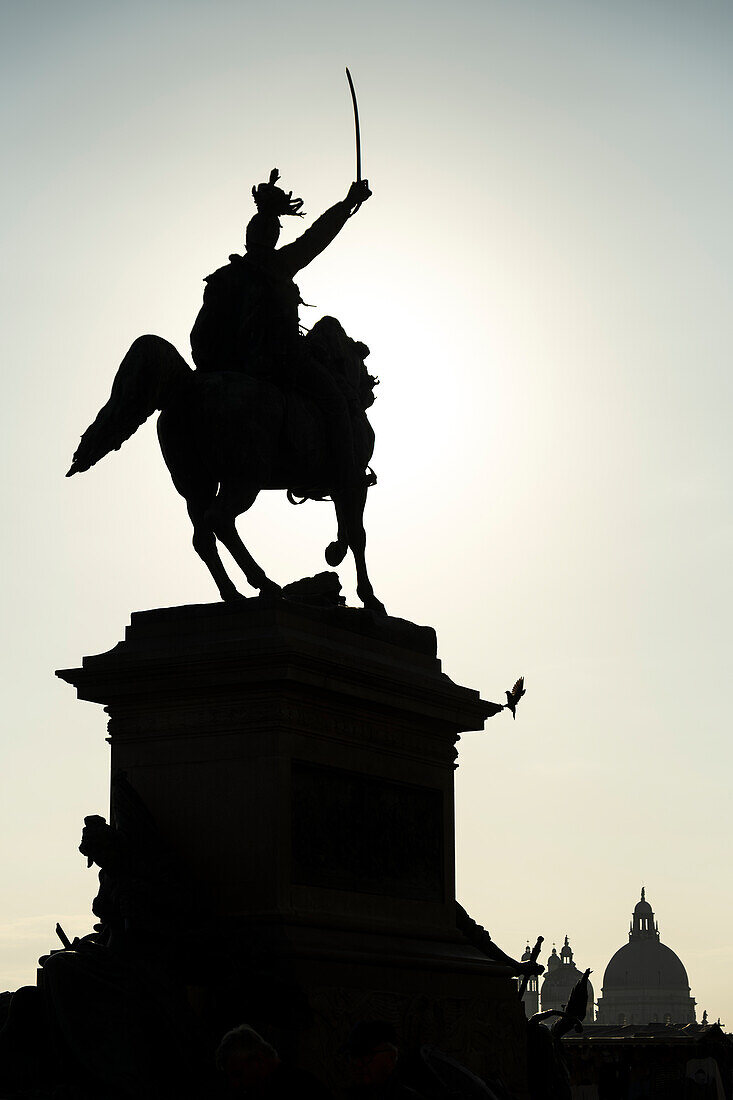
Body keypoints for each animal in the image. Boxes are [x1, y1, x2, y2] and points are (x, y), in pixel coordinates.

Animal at [67, 321, 385, 620]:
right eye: (362, 362)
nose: (370, 392)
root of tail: (189, 385)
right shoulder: (354, 480)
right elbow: (357, 534)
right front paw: (370, 598)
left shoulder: (339, 485)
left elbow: (345, 525)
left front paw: (335, 552)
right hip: (245, 478)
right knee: (220, 519)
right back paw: (265, 584)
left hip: (195, 484)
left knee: (203, 537)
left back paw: (233, 594)